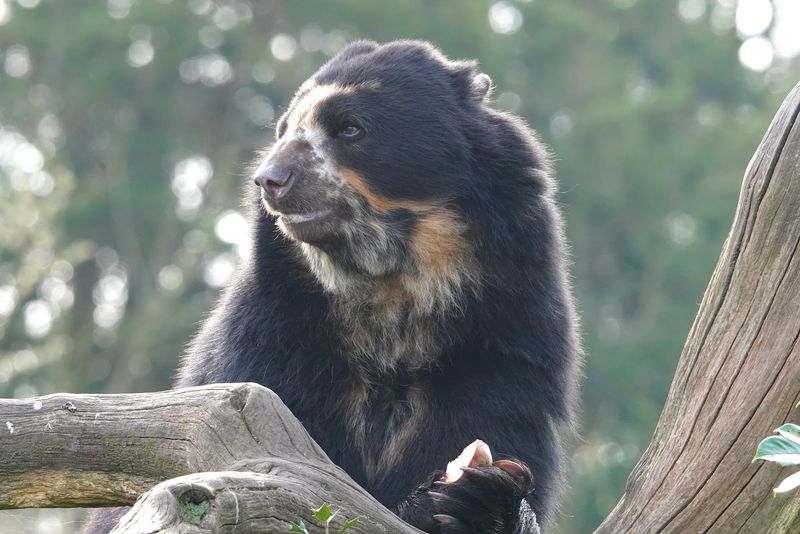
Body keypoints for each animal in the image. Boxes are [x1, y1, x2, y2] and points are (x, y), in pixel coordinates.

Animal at [84, 40, 580, 534]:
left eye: (350, 128)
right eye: (284, 130)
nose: (270, 179)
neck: (391, 290)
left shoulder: (501, 347)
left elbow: (491, 425)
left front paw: (478, 497)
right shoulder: (272, 339)